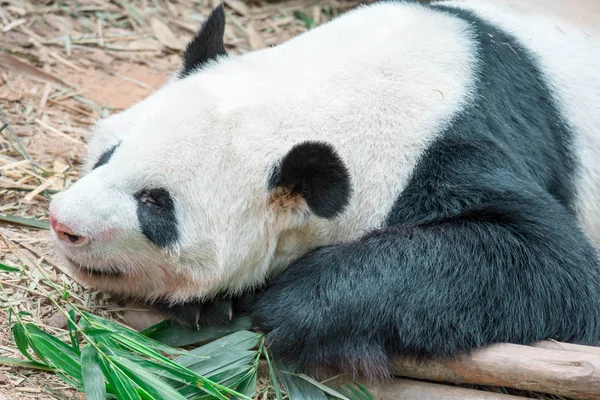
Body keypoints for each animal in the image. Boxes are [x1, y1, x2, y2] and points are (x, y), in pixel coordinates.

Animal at [48, 0, 600, 378]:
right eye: (108, 155)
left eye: (155, 205)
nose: (63, 224)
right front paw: (208, 304)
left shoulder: (458, 142)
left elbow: (556, 269)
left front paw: (292, 306)